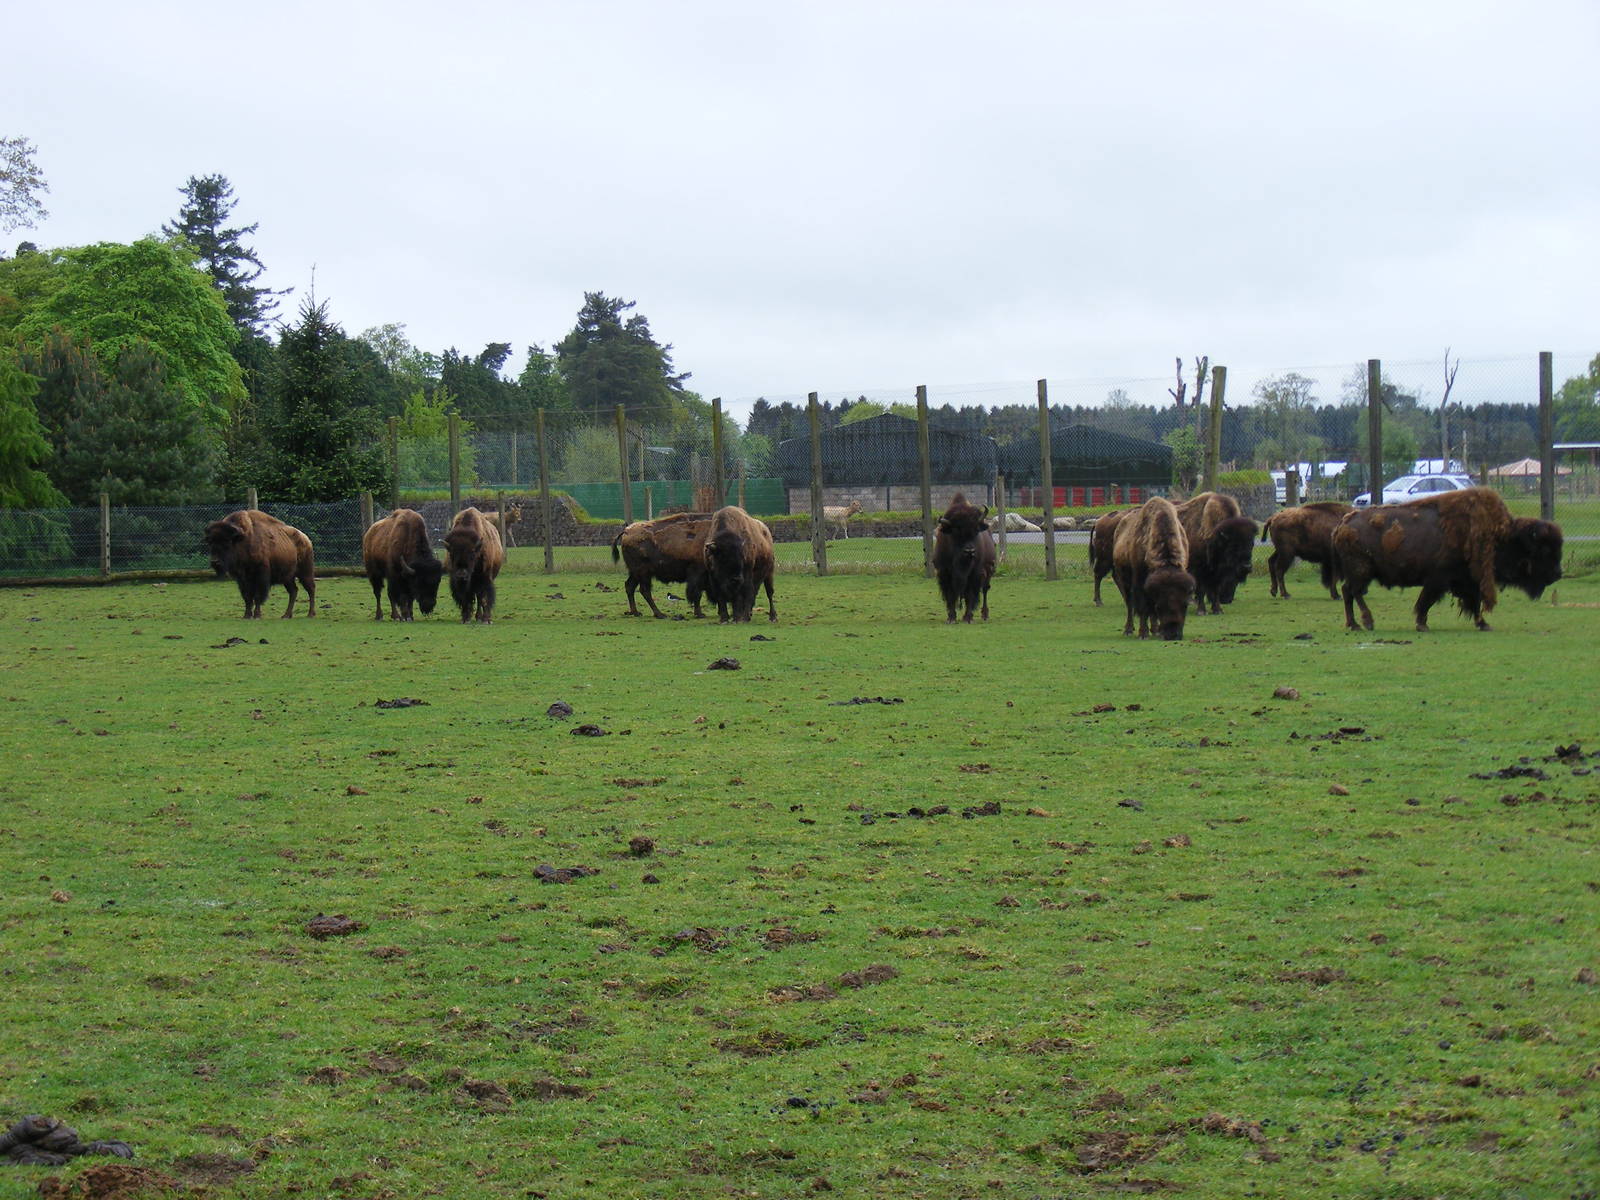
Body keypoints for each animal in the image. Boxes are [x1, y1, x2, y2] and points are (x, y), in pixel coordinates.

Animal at [932, 493, 996, 623]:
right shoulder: (944, 573)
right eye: (955, 531)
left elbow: (969, 595)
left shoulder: (974, 574)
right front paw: (951, 618)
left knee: (985, 590)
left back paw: (985, 615)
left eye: (976, 530)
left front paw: (968, 617)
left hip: (989, 570)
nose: (969, 551)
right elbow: (950, 595)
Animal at [1112, 496, 1195, 640]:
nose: (1173, 635)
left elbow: (1150, 611)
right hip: (1123, 579)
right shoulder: (1140, 582)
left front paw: (1156, 631)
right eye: (1159, 606)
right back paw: (1129, 630)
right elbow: (1144, 607)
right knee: (1129, 604)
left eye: (1185, 605)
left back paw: (1155, 630)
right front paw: (1143, 633)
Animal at [1332, 487, 1562, 632]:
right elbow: (1426, 602)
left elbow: (1474, 603)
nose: (1558, 574)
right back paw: (1367, 622)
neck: (1502, 536)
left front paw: (1484, 624)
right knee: (1354, 592)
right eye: (1543, 550)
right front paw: (1422, 624)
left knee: (1347, 591)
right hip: (1362, 571)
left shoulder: (1467, 581)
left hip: (1359, 573)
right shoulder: (1438, 580)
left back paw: (1354, 625)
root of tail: (1343, 524)